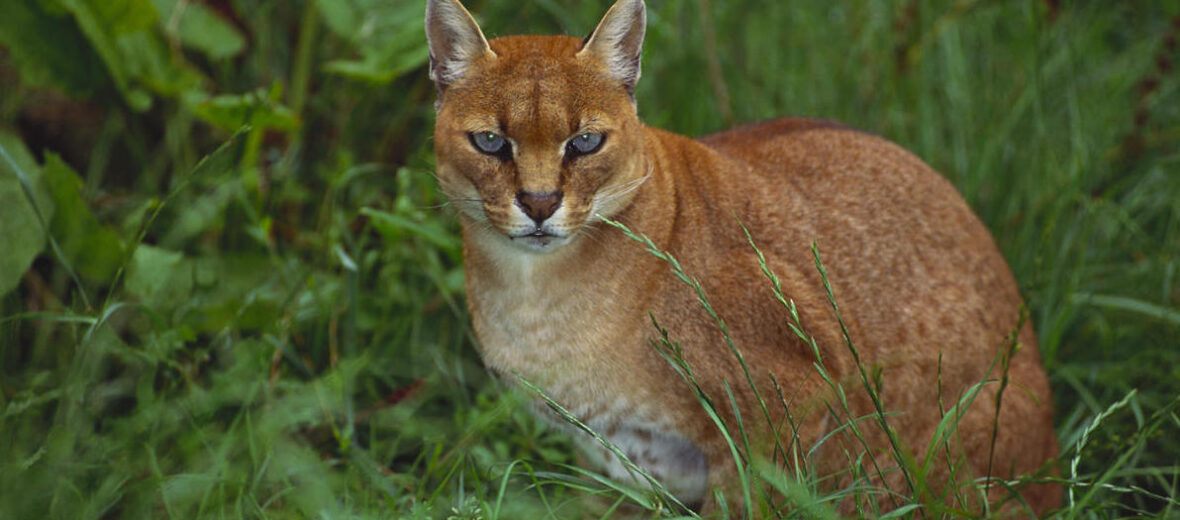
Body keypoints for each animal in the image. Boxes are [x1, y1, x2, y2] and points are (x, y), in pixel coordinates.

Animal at [424, 0, 1062, 511]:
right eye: (490, 141)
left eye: (584, 141)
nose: (538, 202)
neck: (533, 297)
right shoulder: (619, 466)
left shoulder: (783, 410)